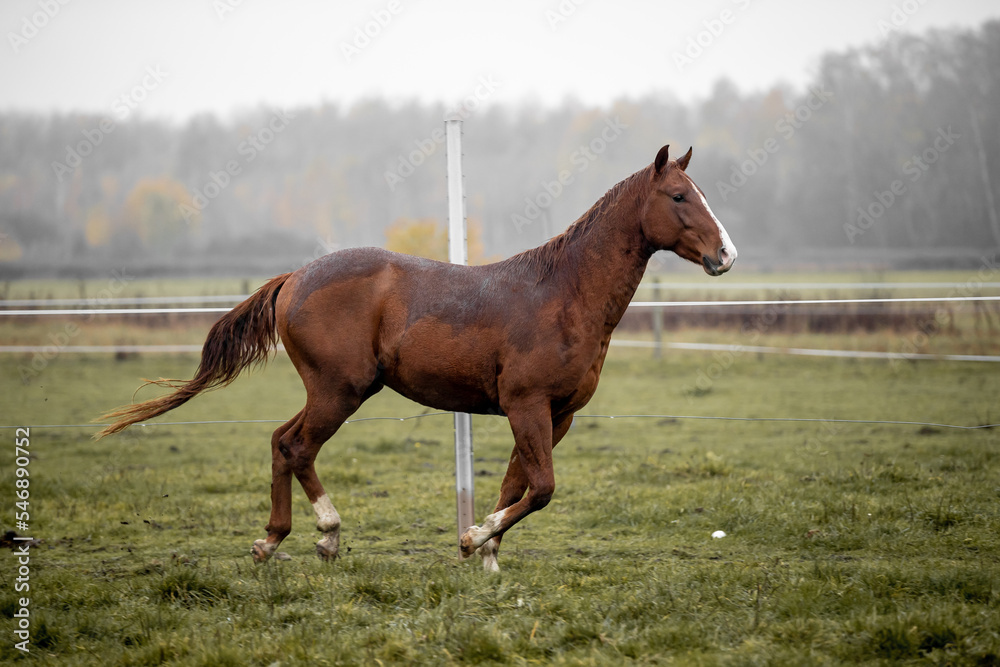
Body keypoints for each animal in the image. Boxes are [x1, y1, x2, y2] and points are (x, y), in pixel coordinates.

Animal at [96, 144, 737, 572]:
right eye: (679, 196)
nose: (725, 255)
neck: (563, 295)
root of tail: (294, 279)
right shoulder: (526, 404)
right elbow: (542, 487)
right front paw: (474, 540)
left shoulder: (557, 415)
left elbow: (517, 485)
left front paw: (487, 557)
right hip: (340, 390)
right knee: (295, 445)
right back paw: (318, 535)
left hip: (331, 390)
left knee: (282, 442)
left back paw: (279, 539)